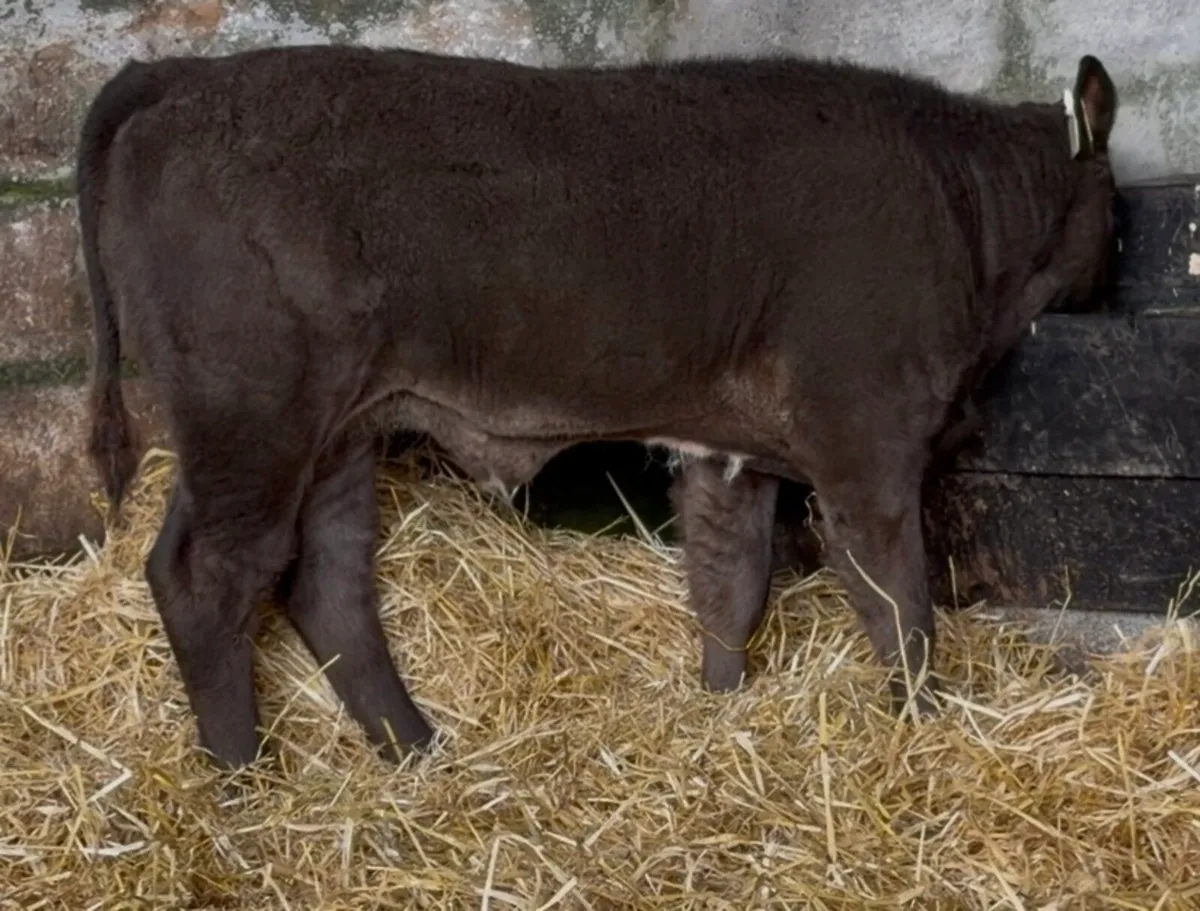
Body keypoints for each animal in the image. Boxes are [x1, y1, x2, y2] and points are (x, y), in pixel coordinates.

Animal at [76, 44, 1119, 770]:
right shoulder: (869, 444)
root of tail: (179, 74)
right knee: (209, 575)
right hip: (254, 420)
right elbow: (900, 604)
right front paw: (921, 728)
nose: (1113, 275)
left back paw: (416, 751)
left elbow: (730, 587)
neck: (965, 201)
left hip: (333, 436)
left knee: (326, 583)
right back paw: (243, 782)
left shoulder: (726, 455)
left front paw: (718, 712)